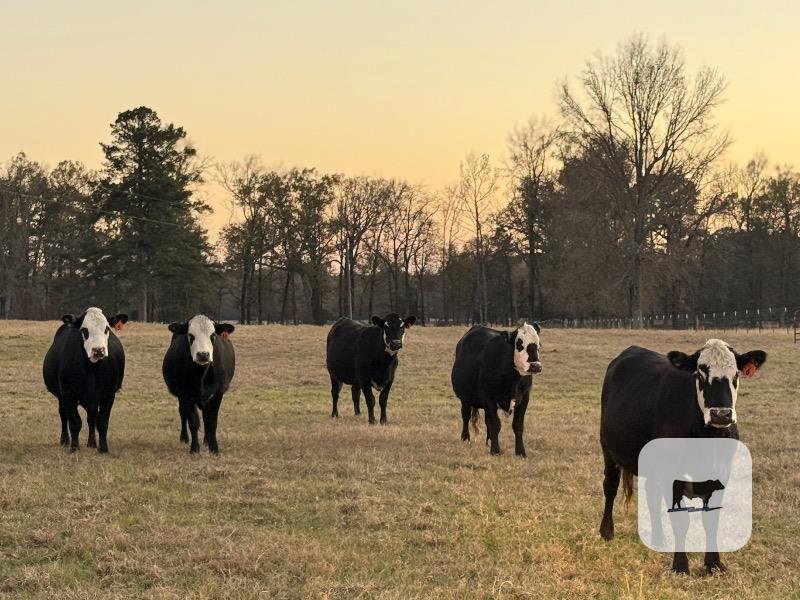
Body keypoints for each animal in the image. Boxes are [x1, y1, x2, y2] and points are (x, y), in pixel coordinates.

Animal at [42, 307, 128, 453]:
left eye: (107, 329)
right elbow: (75, 422)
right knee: (63, 414)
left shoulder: (109, 395)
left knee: (91, 417)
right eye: (84, 330)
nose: (98, 350)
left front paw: (103, 449)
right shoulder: (68, 394)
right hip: (61, 396)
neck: (91, 370)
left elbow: (102, 422)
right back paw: (65, 440)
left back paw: (92, 443)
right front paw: (74, 447)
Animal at [162, 315, 236, 454]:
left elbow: (211, 421)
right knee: (183, 412)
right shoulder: (185, 393)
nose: (203, 354)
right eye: (190, 335)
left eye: (213, 335)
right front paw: (195, 448)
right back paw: (184, 438)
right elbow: (193, 421)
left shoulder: (217, 394)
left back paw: (207, 441)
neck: (201, 374)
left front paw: (214, 448)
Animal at [451, 323, 543, 456]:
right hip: (465, 398)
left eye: (539, 345)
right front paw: (495, 451)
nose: (536, 366)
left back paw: (488, 441)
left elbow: (518, 426)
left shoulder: (525, 397)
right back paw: (465, 438)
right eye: (519, 344)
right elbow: (495, 424)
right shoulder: (488, 397)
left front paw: (520, 452)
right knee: (466, 415)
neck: (513, 381)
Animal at [599, 339, 767, 574]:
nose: (721, 414)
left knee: (651, 494)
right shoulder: (671, 474)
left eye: (735, 374)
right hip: (608, 447)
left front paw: (714, 563)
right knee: (610, 487)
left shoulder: (722, 473)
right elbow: (680, 520)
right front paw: (680, 565)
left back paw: (658, 539)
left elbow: (712, 519)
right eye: (700, 374)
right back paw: (606, 531)